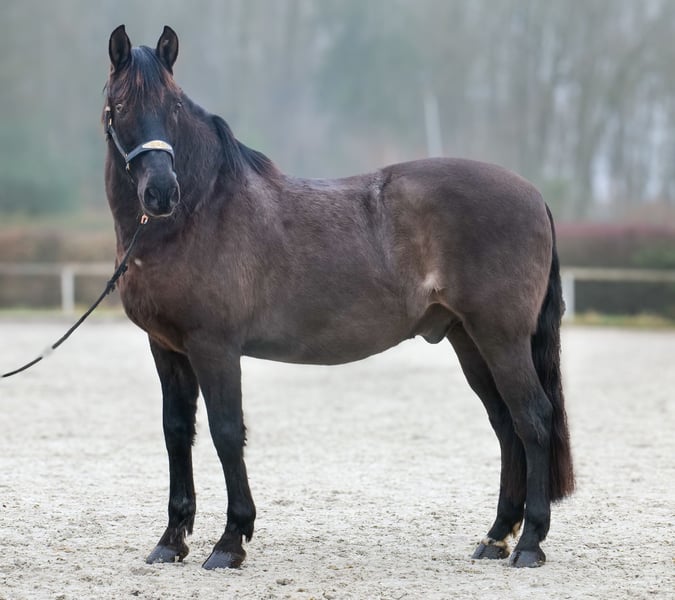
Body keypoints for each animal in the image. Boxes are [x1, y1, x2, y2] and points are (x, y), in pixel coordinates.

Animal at [103, 25, 574, 570]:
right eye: (121, 105)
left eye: (174, 106)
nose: (160, 192)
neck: (200, 211)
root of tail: (534, 195)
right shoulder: (167, 347)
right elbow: (177, 431)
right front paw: (171, 540)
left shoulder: (214, 347)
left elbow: (225, 431)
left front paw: (230, 542)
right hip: (469, 339)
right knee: (505, 425)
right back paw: (497, 536)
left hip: (502, 337)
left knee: (533, 419)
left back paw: (530, 542)